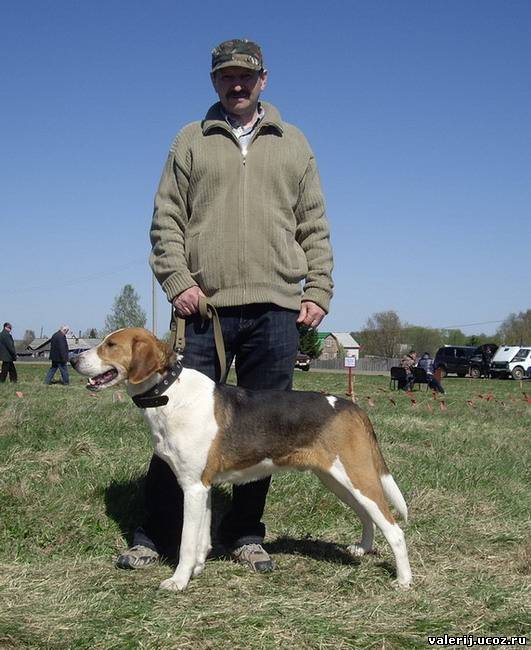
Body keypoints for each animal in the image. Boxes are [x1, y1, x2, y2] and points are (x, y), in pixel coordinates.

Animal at [70, 326, 414, 588]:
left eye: (110, 345)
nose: (73, 359)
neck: (170, 393)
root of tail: (353, 407)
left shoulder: (192, 487)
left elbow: (186, 541)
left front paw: (179, 581)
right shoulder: (204, 486)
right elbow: (201, 539)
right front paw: (197, 569)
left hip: (357, 477)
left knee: (395, 530)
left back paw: (404, 581)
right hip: (337, 480)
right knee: (368, 517)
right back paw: (362, 549)